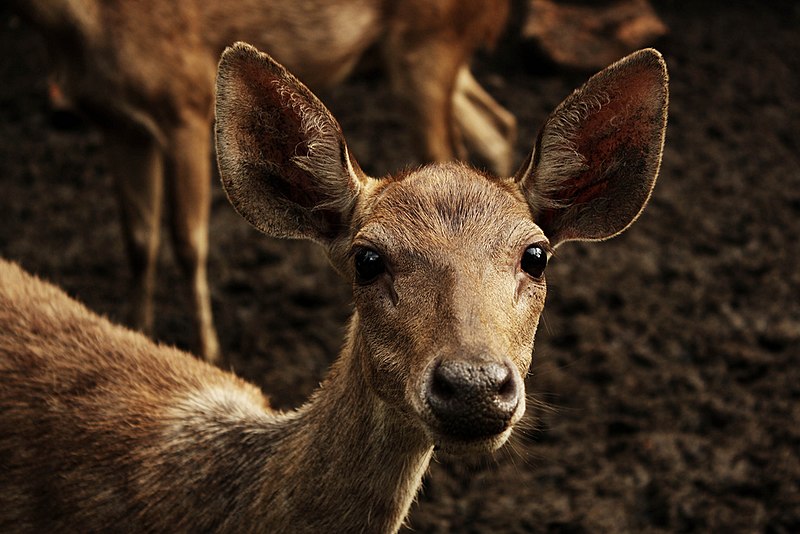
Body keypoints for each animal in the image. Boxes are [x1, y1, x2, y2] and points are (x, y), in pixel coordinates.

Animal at [8, 0, 516, 363]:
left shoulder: (184, 102)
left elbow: (187, 241)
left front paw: (208, 352)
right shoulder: (116, 123)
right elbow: (137, 240)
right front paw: (136, 335)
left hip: (429, 44)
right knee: (498, 126)